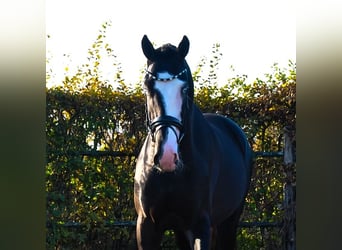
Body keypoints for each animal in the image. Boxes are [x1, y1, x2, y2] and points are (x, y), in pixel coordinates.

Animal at [134, 35, 254, 250]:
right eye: (148, 87)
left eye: (184, 89)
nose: (167, 156)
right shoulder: (147, 227)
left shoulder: (199, 226)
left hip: (229, 222)